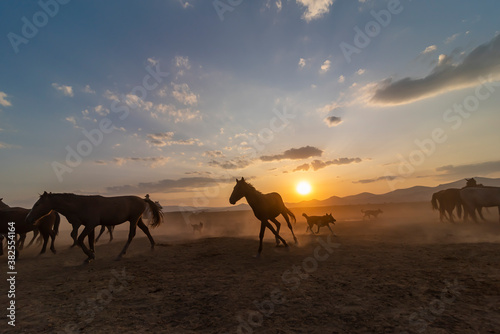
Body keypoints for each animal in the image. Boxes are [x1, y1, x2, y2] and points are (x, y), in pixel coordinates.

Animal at [25, 193, 162, 264]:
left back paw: (120, 254)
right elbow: (90, 240)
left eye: (37, 204)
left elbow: (80, 238)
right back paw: (152, 245)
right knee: (146, 230)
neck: (81, 205)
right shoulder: (90, 226)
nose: (28, 218)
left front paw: (90, 255)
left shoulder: (90, 224)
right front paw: (90, 254)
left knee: (131, 235)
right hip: (137, 220)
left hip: (134, 219)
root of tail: (142, 199)